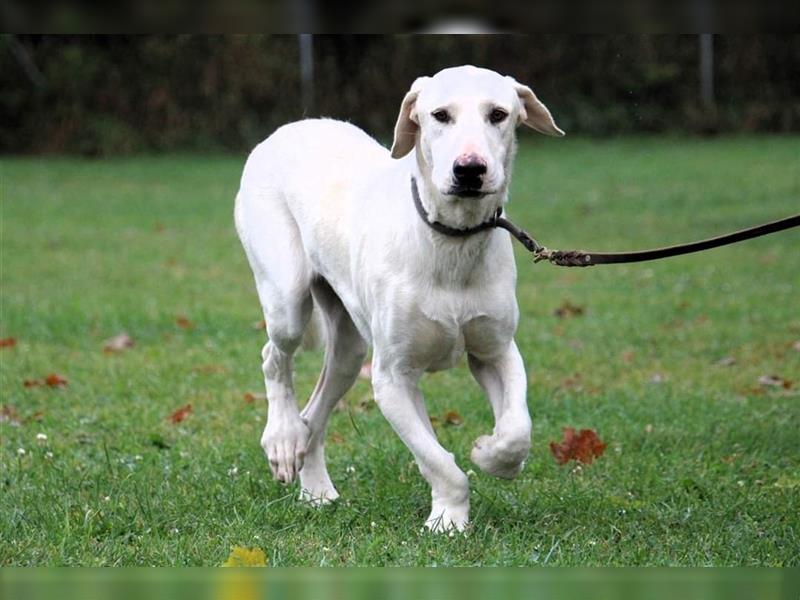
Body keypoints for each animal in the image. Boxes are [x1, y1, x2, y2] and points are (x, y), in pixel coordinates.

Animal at [234, 64, 564, 528]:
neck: (451, 241)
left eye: (499, 114)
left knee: (315, 414)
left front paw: (490, 453)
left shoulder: (495, 351)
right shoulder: (393, 377)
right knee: (274, 356)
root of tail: (290, 127)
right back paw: (282, 439)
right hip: (287, 298)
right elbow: (436, 459)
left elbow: (517, 431)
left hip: (350, 348)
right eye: (439, 115)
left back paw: (315, 488)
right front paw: (448, 519)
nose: (469, 170)